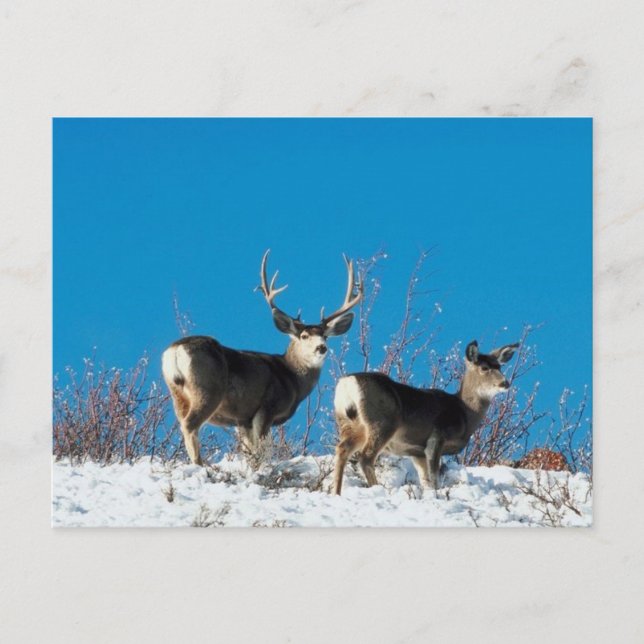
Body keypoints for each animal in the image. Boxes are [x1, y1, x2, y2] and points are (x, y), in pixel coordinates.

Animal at [162, 250, 362, 467]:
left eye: (325, 336)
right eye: (304, 336)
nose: (321, 347)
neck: (292, 378)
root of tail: (175, 350)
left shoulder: (243, 419)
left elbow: (248, 451)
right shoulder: (267, 407)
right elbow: (260, 450)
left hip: (178, 394)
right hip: (207, 389)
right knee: (190, 425)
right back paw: (200, 464)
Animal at [332, 340, 519, 495]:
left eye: (499, 366)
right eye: (484, 368)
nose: (505, 383)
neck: (464, 412)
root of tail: (347, 384)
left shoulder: (417, 452)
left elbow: (426, 480)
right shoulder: (437, 436)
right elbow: (434, 477)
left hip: (350, 424)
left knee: (342, 449)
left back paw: (336, 493)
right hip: (382, 422)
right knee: (366, 457)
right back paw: (379, 490)